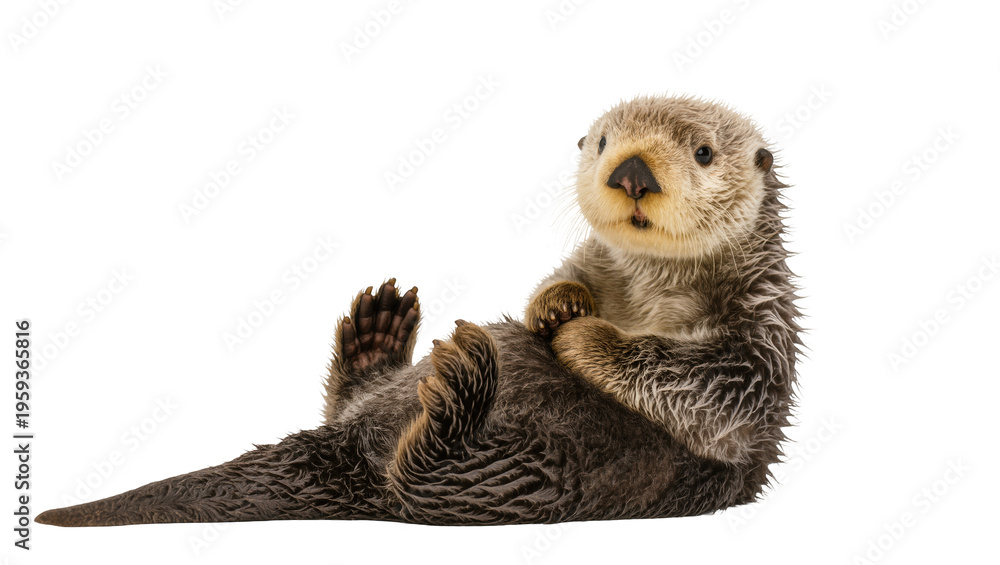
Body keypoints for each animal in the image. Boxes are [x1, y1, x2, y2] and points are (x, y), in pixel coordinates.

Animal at [37, 95, 801, 527]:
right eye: (606, 142)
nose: (634, 172)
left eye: (702, 151)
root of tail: (347, 450)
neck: (647, 291)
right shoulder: (595, 260)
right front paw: (560, 304)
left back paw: (459, 381)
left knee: (419, 483)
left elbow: (710, 381)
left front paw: (582, 333)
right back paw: (380, 330)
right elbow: (565, 275)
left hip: (538, 474)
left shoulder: (758, 339)